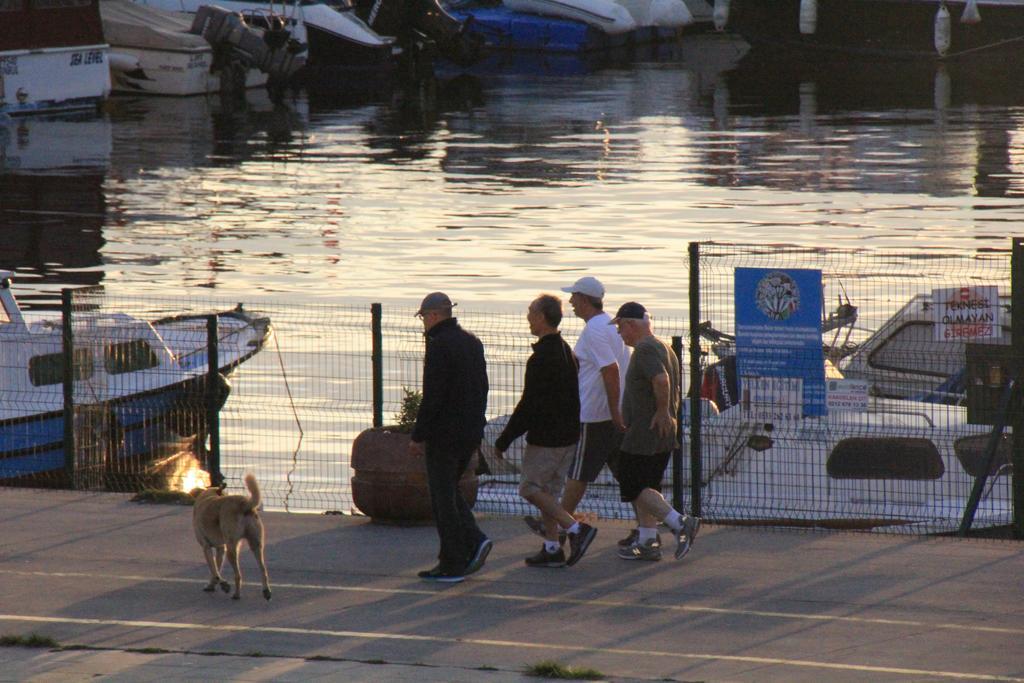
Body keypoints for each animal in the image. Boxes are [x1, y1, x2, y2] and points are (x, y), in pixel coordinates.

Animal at [192, 473, 272, 602]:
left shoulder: (206, 547)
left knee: (238, 575)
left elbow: (214, 570)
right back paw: (266, 591)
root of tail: (244, 503)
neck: (210, 495)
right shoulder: (220, 549)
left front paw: (223, 585)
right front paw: (212, 585)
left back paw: (236, 594)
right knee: (263, 569)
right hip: (256, 544)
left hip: (232, 549)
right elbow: (217, 568)